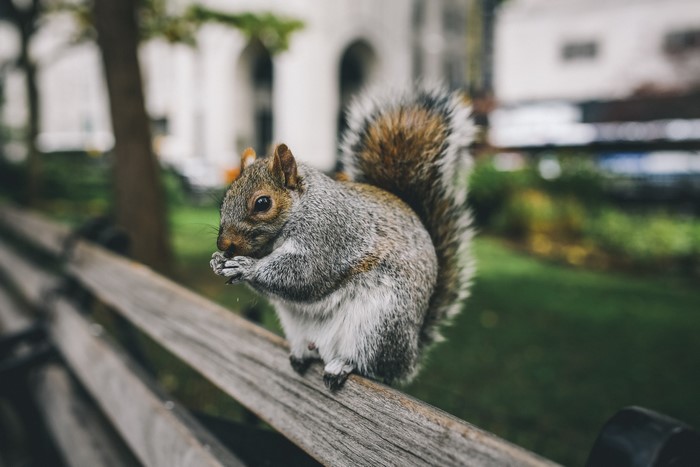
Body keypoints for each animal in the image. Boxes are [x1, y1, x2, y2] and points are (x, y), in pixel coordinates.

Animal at [210, 87, 475, 390]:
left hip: (378, 324)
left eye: (263, 203)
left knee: (369, 362)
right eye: (225, 198)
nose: (224, 245)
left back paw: (342, 365)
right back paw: (302, 355)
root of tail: (409, 356)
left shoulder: (329, 236)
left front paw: (246, 267)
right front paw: (218, 262)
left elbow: (304, 275)